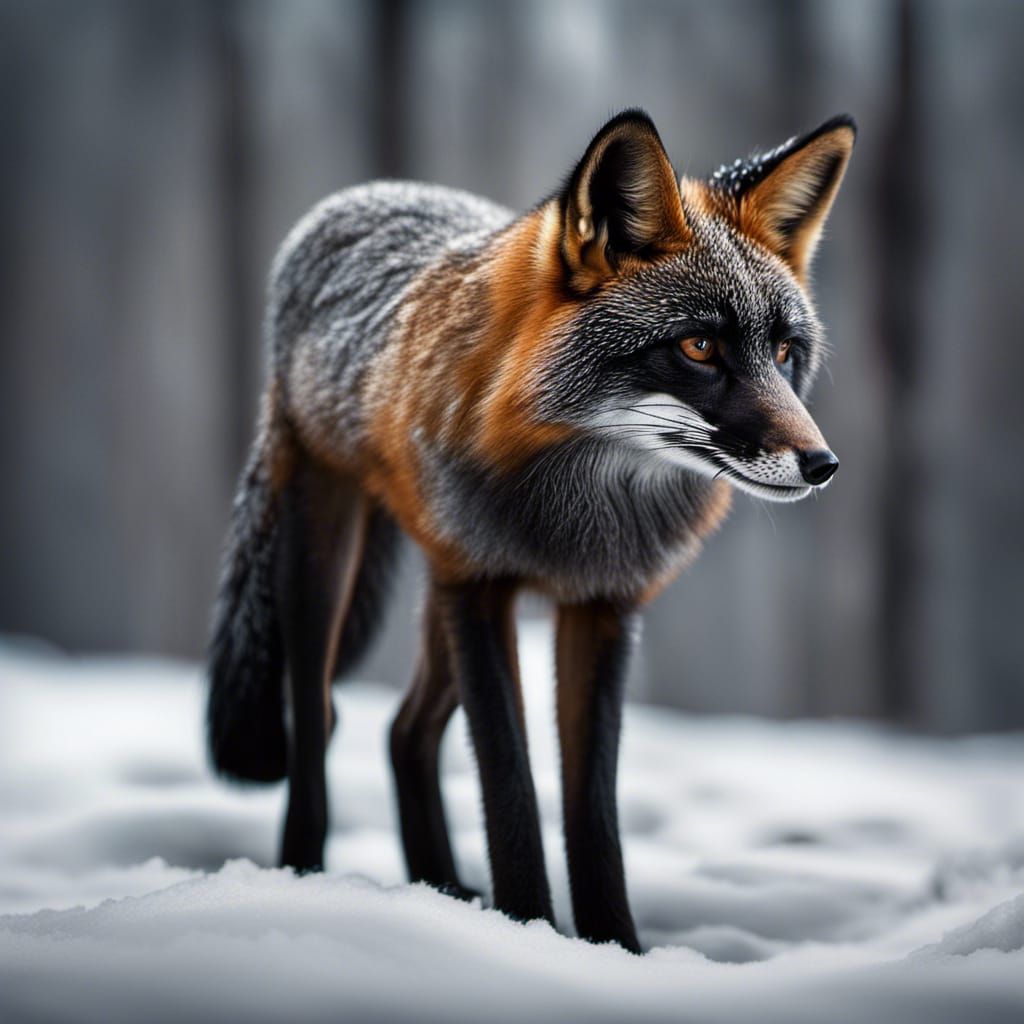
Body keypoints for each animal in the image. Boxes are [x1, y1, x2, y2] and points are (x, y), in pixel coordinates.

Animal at [207, 109, 855, 954]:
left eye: (783, 352)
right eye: (699, 347)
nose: (822, 464)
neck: (577, 514)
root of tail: (354, 200)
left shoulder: (601, 606)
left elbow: (592, 810)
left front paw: (612, 949)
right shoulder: (478, 588)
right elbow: (508, 786)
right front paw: (529, 928)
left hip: (436, 601)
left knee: (404, 732)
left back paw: (441, 891)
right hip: (331, 562)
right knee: (318, 718)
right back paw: (305, 879)